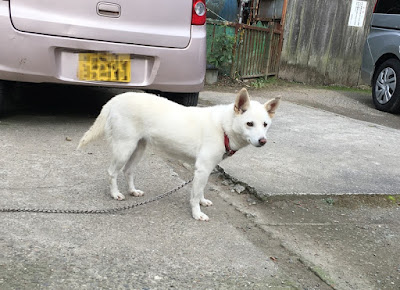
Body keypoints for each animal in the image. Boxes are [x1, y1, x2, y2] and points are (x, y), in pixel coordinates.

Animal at [77, 88, 278, 222]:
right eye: (249, 124)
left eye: (265, 124)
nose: (262, 141)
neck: (223, 127)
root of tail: (116, 99)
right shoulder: (202, 169)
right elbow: (194, 195)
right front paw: (197, 213)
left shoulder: (206, 170)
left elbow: (201, 190)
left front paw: (203, 202)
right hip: (124, 148)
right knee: (112, 172)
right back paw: (115, 194)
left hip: (138, 148)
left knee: (128, 171)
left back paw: (133, 191)